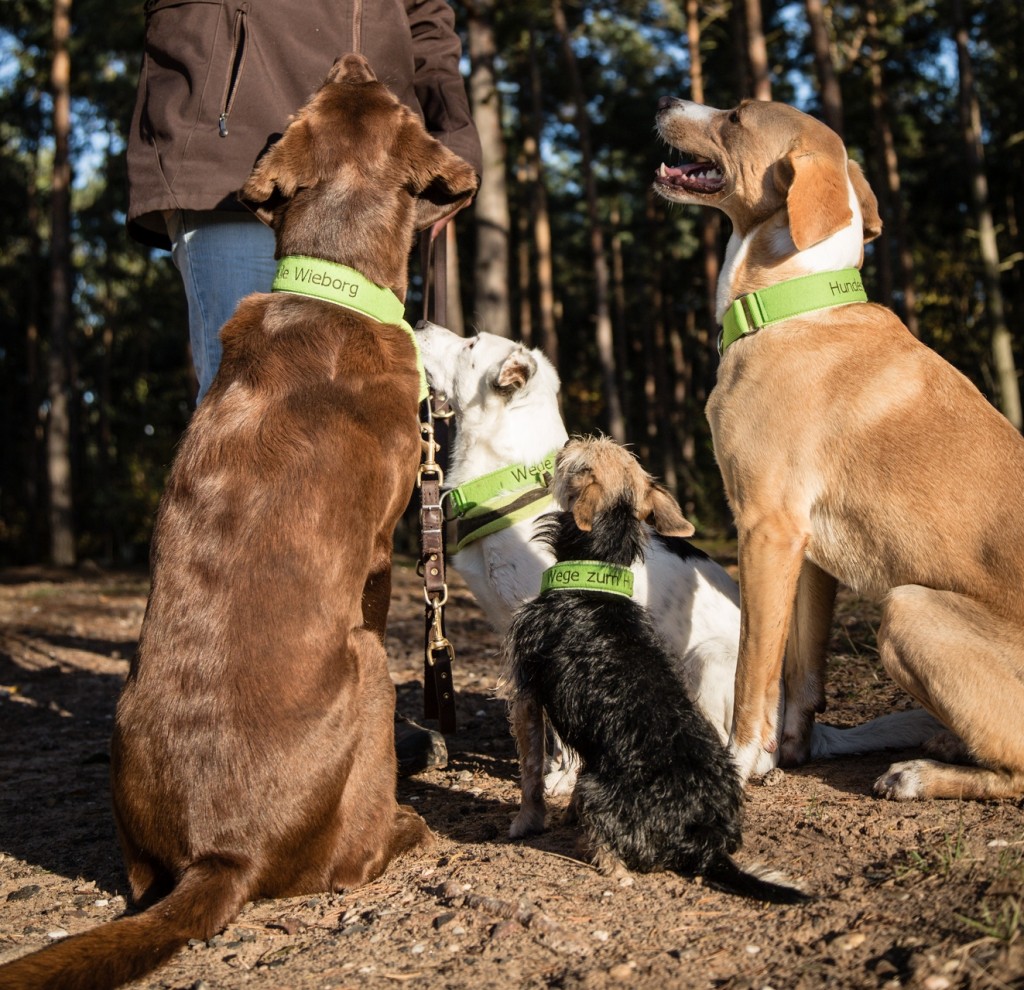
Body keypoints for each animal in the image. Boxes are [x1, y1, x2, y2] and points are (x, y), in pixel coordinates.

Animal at [0, 54, 477, 990]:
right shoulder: (381, 555)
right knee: (352, 858)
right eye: (395, 101)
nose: (352, 55)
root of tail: (221, 855)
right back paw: (405, 828)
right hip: (370, 669)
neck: (331, 286)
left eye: (321, 99)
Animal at [503, 438, 806, 900]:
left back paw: (607, 863)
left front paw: (525, 822)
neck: (594, 577)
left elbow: (531, 767)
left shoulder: (525, 691)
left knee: (613, 848)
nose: (568, 441)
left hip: (603, 783)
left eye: (581, 454)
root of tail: (707, 839)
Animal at [651, 96, 1024, 802]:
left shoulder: (766, 530)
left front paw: (741, 763)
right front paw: (788, 754)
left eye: (736, 115)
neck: (787, 304)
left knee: (1015, 764)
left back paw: (919, 773)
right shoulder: (806, 550)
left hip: (907, 607)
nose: (664, 101)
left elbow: (754, 673)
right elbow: (800, 673)